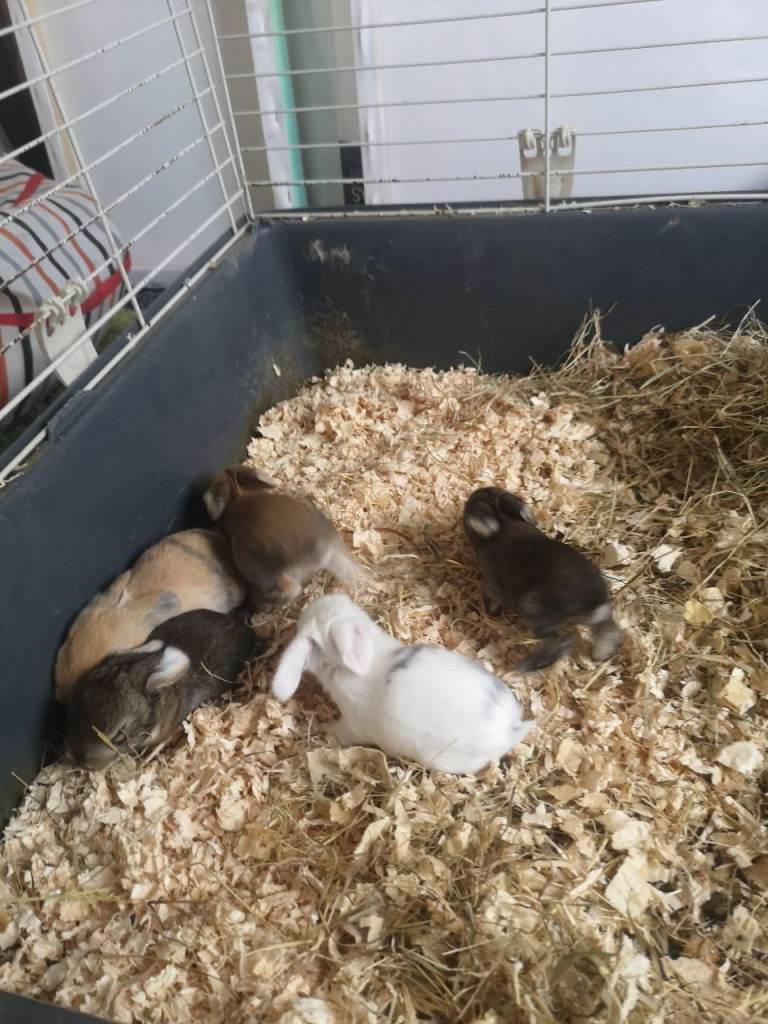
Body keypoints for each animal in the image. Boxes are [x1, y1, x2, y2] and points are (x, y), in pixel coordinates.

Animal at [203, 464, 364, 611]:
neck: (238, 496)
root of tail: (316, 549)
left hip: (264, 571)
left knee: (291, 590)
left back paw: (261, 603)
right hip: (334, 549)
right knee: (347, 568)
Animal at [463, 487, 623, 672]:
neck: (501, 525)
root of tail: (592, 603)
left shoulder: (492, 587)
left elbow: (491, 601)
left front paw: (492, 614)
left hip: (536, 613)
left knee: (562, 641)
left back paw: (527, 666)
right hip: (595, 617)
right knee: (608, 630)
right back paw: (600, 655)